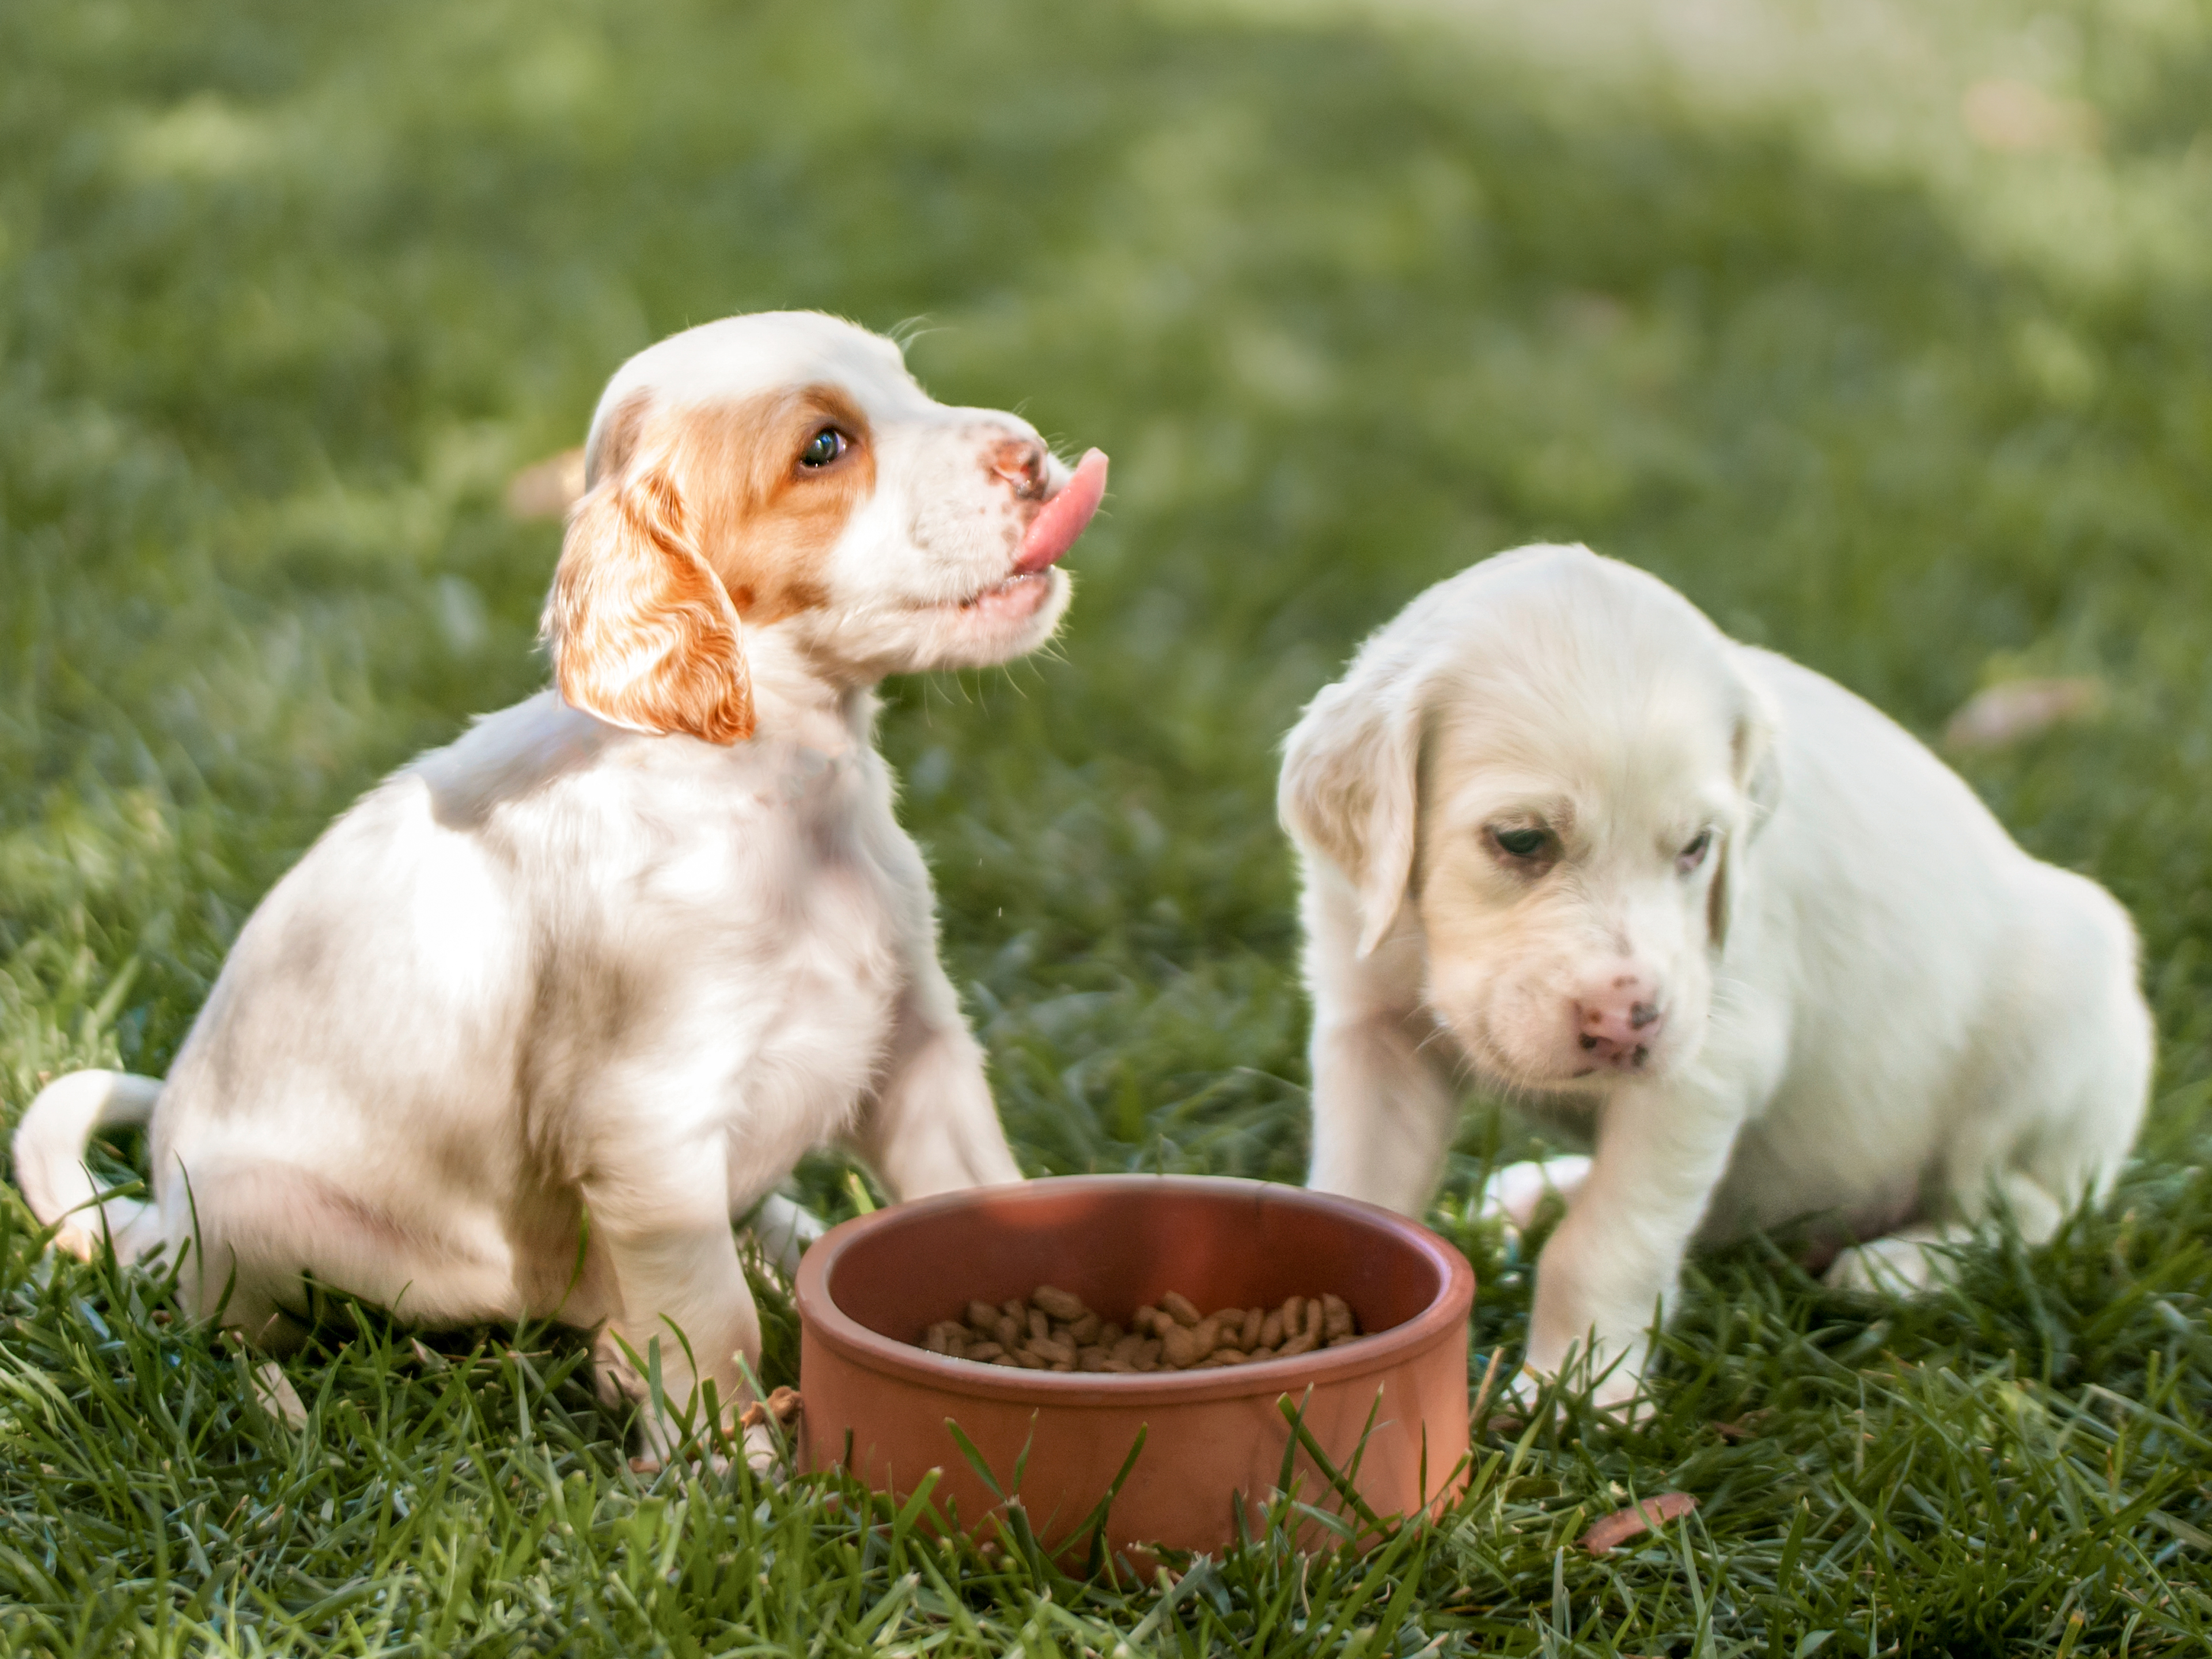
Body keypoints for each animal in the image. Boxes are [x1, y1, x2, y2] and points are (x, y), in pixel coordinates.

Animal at [15, 312, 1115, 1451]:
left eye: (911, 386)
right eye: (824, 447)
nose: (1031, 458)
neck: (778, 791)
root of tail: (156, 1222)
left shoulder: (914, 1044)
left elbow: (981, 1186)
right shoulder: (650, 1128)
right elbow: (710, 1322)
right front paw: (732, 1465)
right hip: (269, 1221)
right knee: (240, 1334)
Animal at [1291, 553, 2150, 1407]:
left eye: (1698, 847)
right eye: (1521, 839)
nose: (1628, 1024)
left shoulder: (1704, 1062)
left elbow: (1606, 1243)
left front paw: (1581, 1395)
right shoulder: (1372, 1029)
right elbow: (1358, 1190)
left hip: (2059, 1018)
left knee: (2024, 1210)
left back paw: (1904, 1264)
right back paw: (1546, 1190)